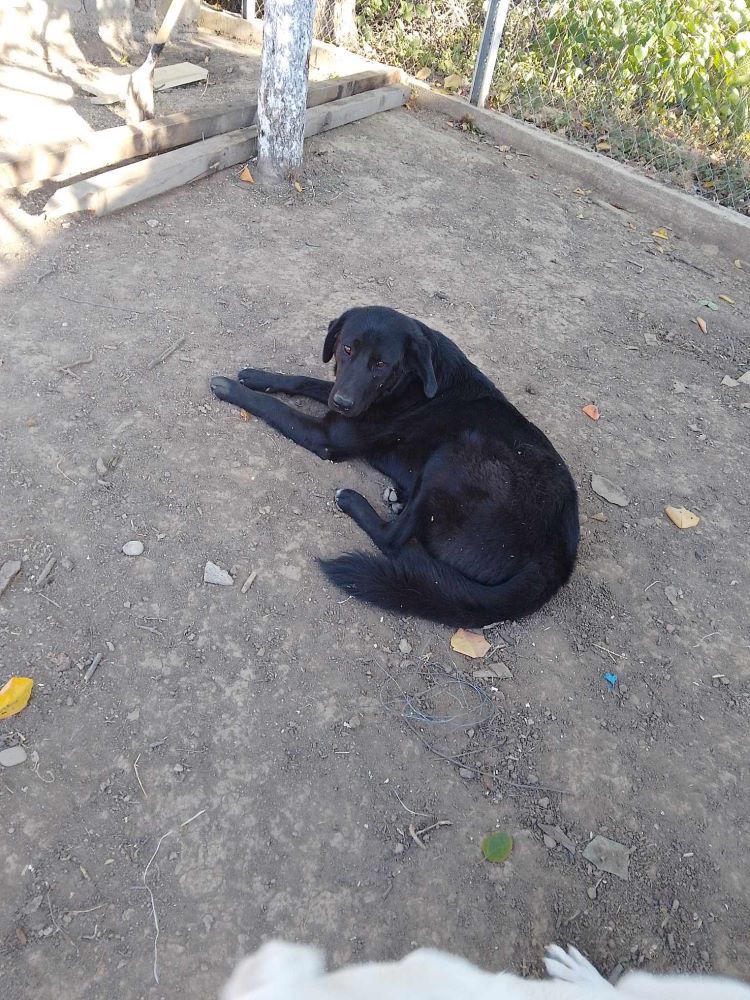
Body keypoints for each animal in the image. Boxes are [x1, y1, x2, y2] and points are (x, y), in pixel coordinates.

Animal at [212, 308, 580, 628]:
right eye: (346, 348)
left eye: (381, 364)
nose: (343, 403)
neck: (408, 382)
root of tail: (558, 558)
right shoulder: (336, 395)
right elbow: (303, 380)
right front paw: (257, 376)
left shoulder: (327, 436)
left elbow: (275, 408)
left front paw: (232, 389)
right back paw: (397, 499)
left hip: (457, 453)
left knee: (394, 539)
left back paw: (354, 501)